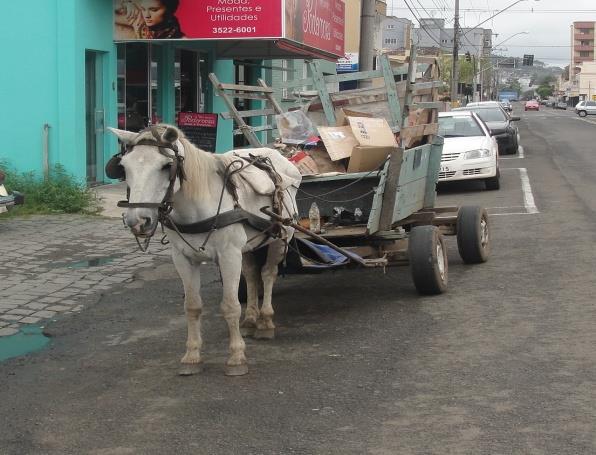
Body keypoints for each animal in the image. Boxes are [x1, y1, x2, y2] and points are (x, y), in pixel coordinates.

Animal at [107, 125, 300, 378]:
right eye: (124, 167)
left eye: (166, 166)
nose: (137, 221)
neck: (197, 205)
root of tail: (275, 155)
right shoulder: (183, 258)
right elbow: (192, 306)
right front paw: (192, 356)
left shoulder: (229, 256)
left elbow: (230, 306)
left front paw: (236, 357)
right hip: (249, 245)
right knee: (251, 275)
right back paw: (250, 319)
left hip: (280, 237)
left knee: (268, 274)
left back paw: (266, 321)